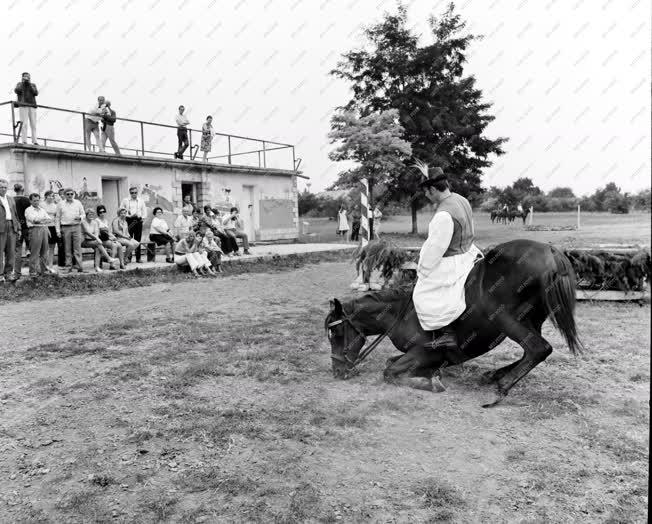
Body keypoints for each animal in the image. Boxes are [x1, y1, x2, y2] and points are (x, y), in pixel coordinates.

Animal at [324, 239, 584, 408]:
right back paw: (494, 376)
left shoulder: (425, 352)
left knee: (538, 348)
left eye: (336, 333)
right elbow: (391, 363)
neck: (400, 312)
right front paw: (431, 375)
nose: (337, 371)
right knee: (530, 351)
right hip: (531, 320)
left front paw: (430, 382)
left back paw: (500, 389)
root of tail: (551, 251)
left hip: (504, 317)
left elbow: (389, 371)